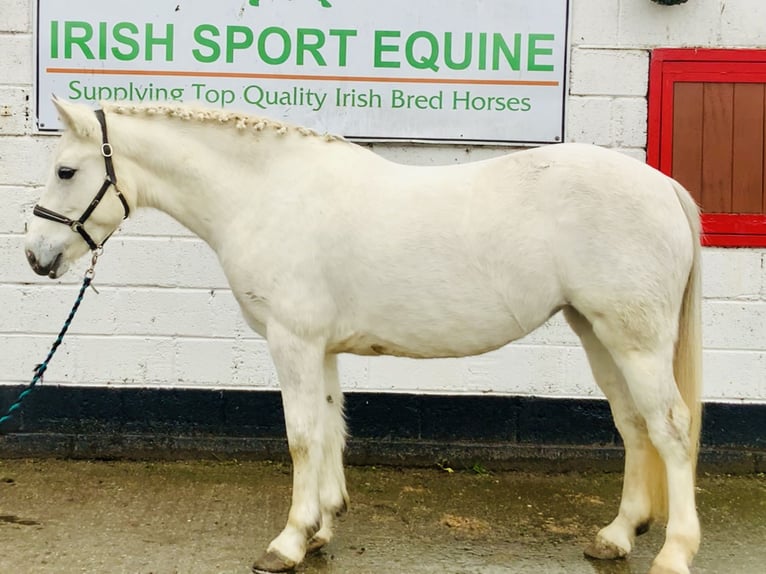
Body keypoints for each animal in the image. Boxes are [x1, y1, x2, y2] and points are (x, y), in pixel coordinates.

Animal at [27, 100, 704, 574]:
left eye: (65, 169)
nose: (35, 256)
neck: (268, 195)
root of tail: (664, 186)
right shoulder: (321, 348)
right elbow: (331, 428)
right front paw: (322, 527)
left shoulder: (293, 341)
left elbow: (302, 436)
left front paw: (287, 542)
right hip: (597, 333)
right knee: (633, 424)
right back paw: (617, 536)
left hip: (635, 339)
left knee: (670, 428)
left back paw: (674, 551)